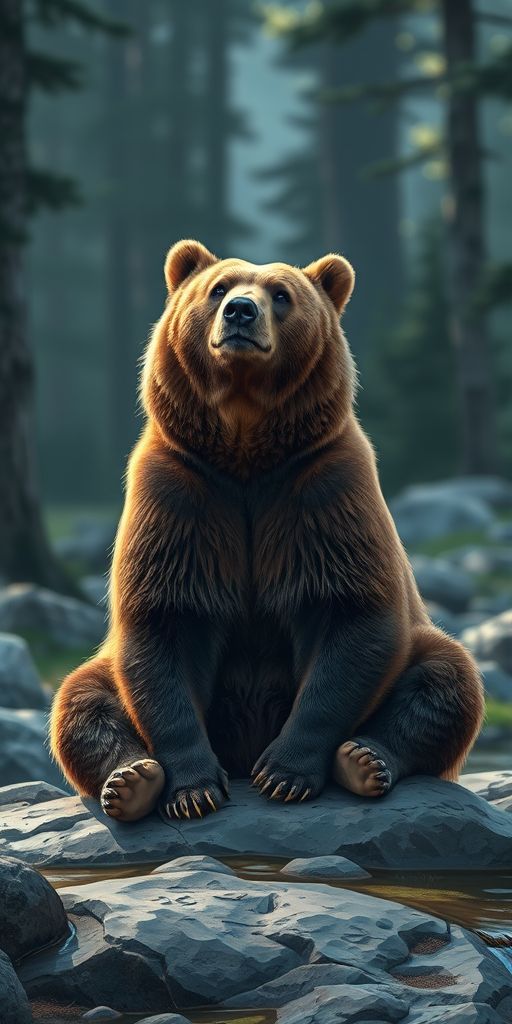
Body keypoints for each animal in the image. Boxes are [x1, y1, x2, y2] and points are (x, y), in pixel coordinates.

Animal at [50, 238, 484, 822]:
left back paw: (363, 760)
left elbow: (355, 615)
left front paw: (285, 774)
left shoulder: (322, 489)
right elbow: (162, 623)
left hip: (420, 646)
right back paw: (132, 778)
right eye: (218, 288)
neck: (245, 448)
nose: (240, 312)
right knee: (80, 699)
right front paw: (192, 790)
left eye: (281, 294)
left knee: (448, 678)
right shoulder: (180, 493)